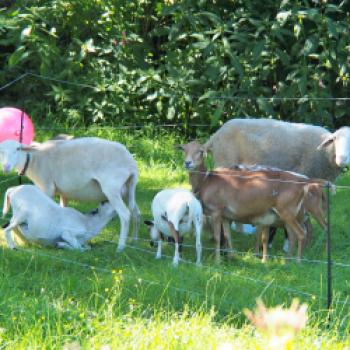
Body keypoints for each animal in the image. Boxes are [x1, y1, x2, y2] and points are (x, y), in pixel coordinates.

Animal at [0, 137, 141, 252]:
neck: (33, 159)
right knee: (136, 213)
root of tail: (131, 164)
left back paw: (120, 247)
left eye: (17, 149)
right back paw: (133, 241)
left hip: (112, 188)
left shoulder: (47, 186)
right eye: (1, 151)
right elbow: (62, 209)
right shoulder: (64, 193)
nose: (6, 167)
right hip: (128, 189)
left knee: (125, 214)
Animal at [179, 141, 330, 262]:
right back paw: (288, 259)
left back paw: (298, 261)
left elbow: (217, 237)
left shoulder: (216, 211)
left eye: (200, 151)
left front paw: (217, 261)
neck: (207, 180)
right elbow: (227, 235)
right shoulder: (226, 216)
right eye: (184, 149)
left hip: (289, 212)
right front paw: (231, 256)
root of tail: (303, 184)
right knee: (294, 235)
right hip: (291, 216)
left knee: (302, 233)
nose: (187, 163)